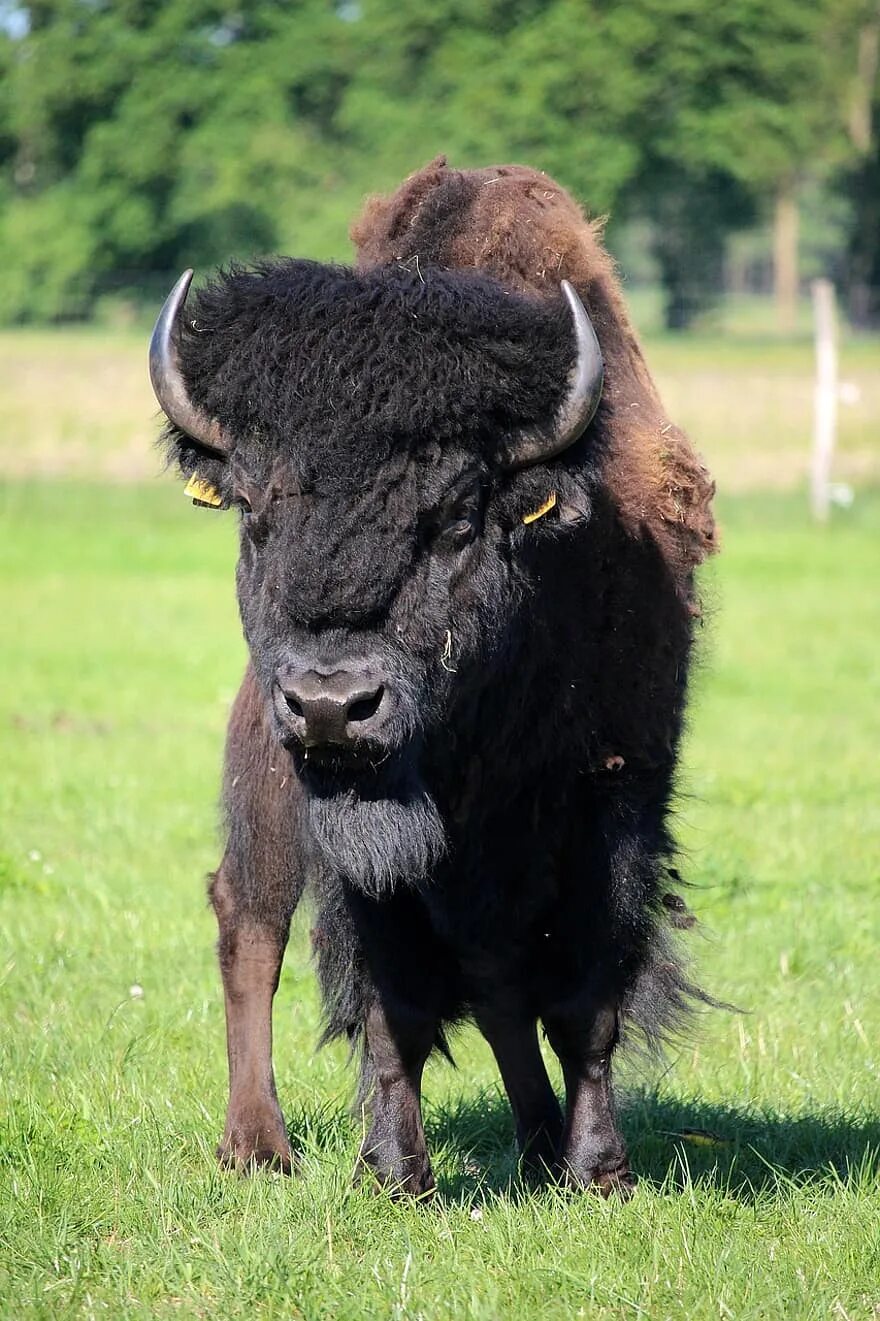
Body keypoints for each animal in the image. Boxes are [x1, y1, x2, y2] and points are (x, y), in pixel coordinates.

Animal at [147, 157, 718, 1199]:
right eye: (252, 508)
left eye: (455, 516)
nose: (333, 705)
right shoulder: (362, 841)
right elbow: (395, 1004)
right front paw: (394, 1170)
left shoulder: (614, 796)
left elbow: (581, 999)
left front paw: (597, 1169)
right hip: (264, 776)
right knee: (249, 920)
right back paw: (257, 1144)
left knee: (496, 983)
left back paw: (537, 1137)